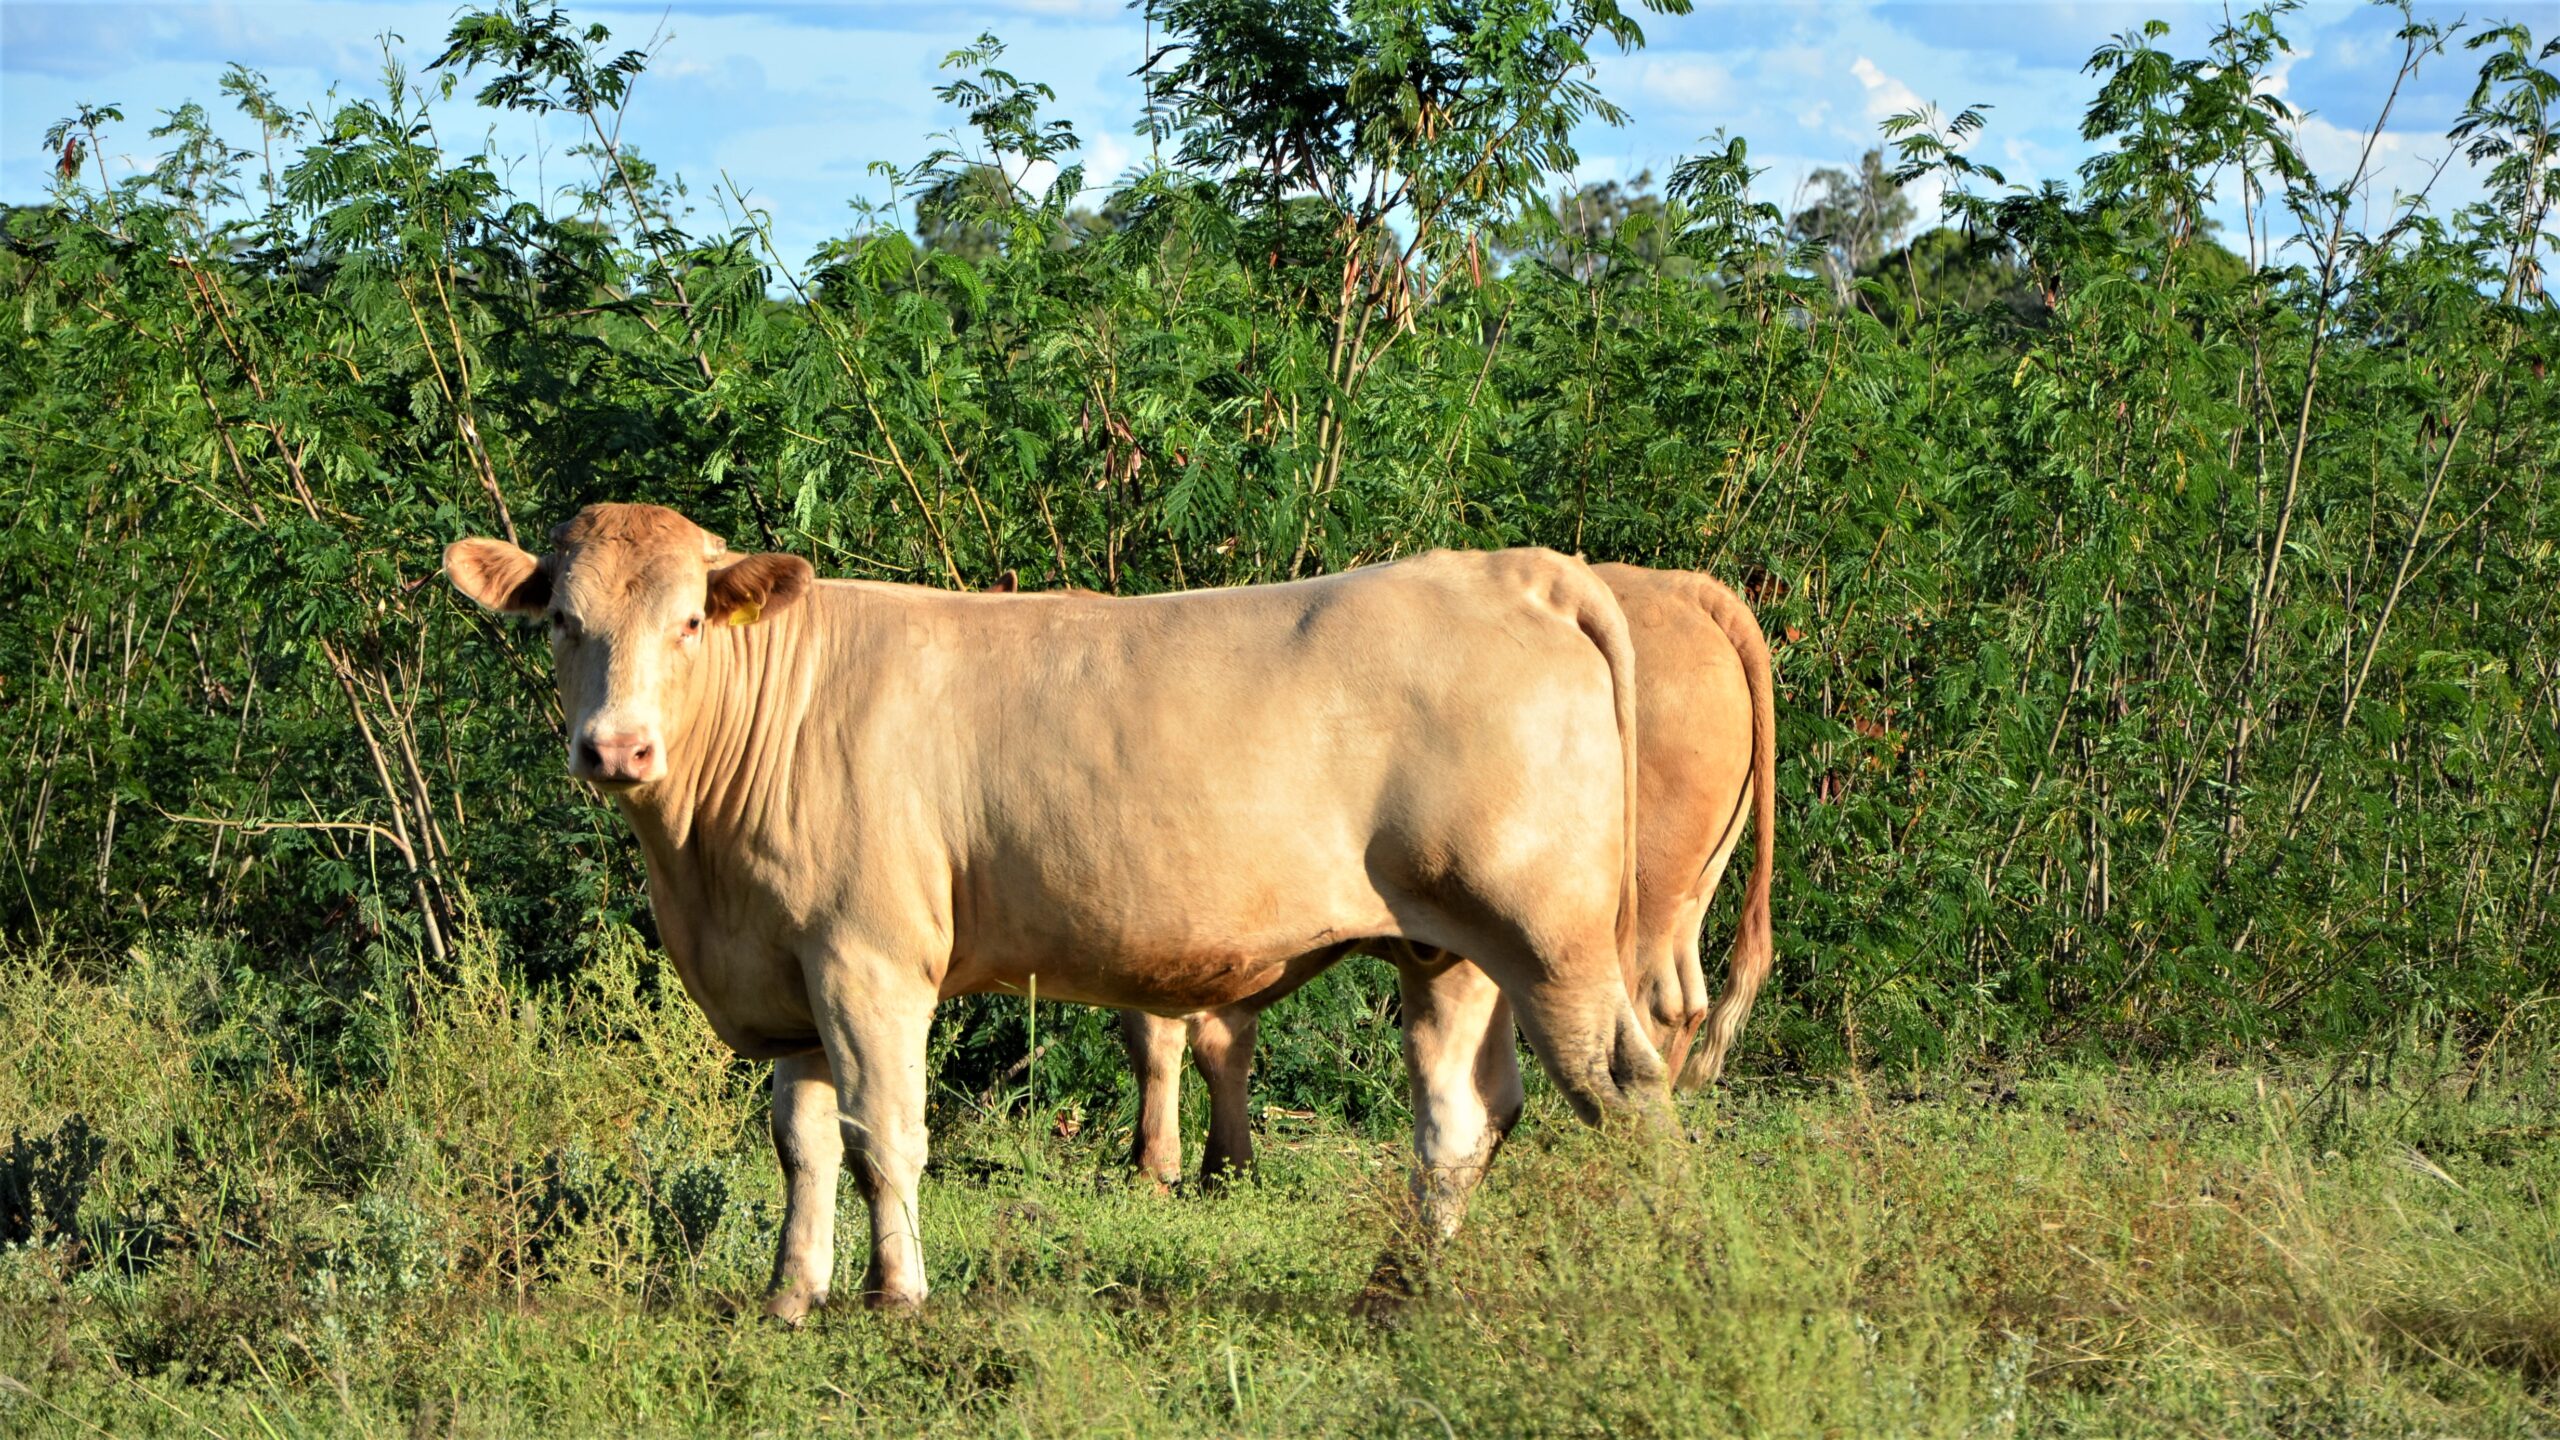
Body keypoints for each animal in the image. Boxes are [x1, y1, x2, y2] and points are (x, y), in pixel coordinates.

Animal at [450, 502, 1669, 1311]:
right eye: (561, 620)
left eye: (693, 623)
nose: (616, 748)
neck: (701, 871)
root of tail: (1511, 569)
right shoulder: (785, 974)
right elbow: (802, 1147)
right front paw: (790, 1299)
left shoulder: (868, 959)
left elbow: (884, 1135)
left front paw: (896, 1298)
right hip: (1448, 947)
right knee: (1463, 1116)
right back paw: (1398, 1290)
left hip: (1550, 934)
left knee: (1631, 1090)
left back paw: (1670, 1271)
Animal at [1121, 566, 1781, 1183]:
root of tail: (1686, 589)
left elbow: (1158, 1031)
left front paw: (1158, 1166)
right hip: (1688, 888)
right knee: (1684, 999)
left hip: (1617, 896)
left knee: (1644, 1007)